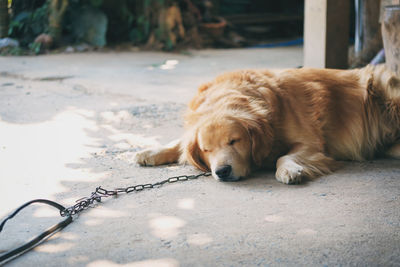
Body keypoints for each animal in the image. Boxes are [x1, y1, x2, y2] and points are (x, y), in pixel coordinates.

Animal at [135, 65, 400, 184]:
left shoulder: (312, 143)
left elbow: (285, 156)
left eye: (234, 141)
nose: (222, 172)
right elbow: (179, 143)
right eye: (207, 149)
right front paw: (150, 151)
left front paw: (288, 170)